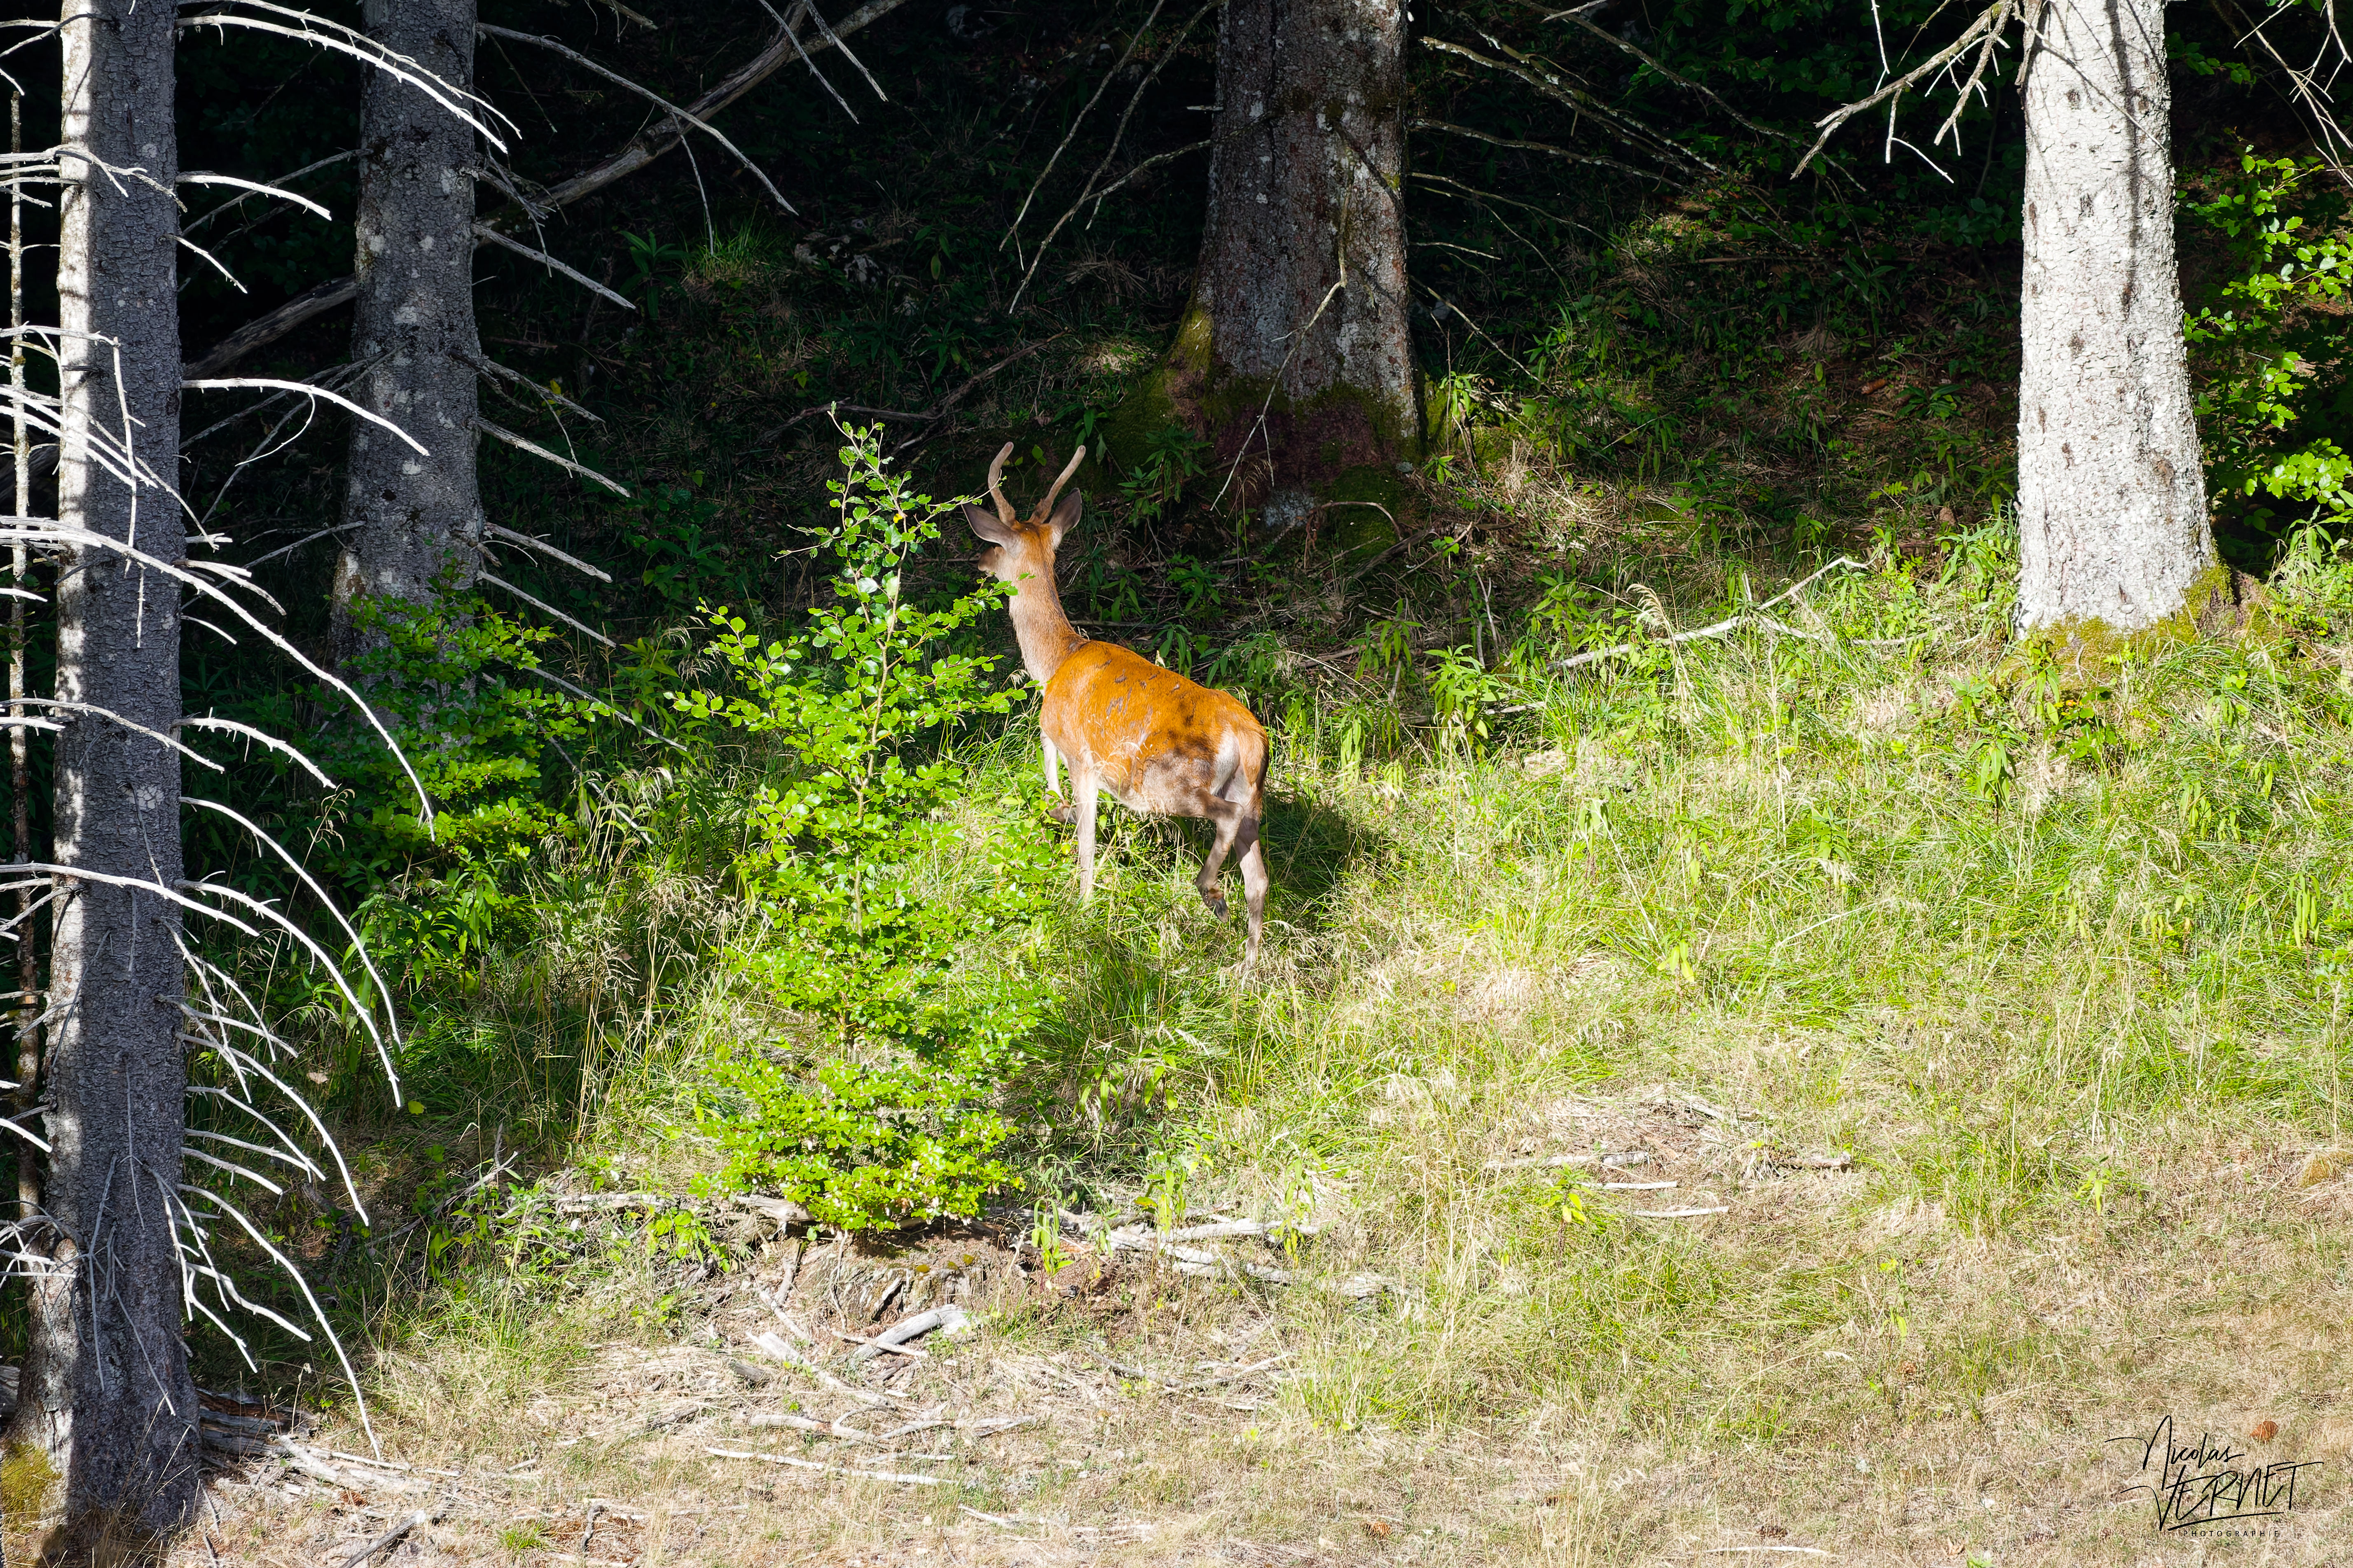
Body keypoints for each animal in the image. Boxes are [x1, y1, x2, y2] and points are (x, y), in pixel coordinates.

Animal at [965, 442, 1271, 969]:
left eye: (998, 544)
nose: (981, 561)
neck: (1056, 662)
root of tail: (1249, 739)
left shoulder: (1082, 756)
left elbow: (1086, 843)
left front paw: (1083, 909)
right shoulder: (1058, 745)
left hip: (1168, 783)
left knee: (1226, 826)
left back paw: (1211, 894)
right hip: (1251, 797)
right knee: (1259, 882)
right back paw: (1245, 971)